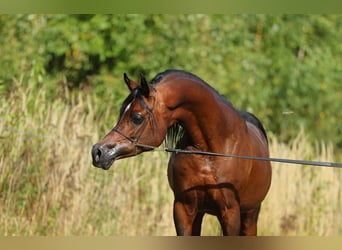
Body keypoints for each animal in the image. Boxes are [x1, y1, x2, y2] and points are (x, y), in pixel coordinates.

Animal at [91, 70, 272, 236]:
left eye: (137, 117)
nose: (98, 152)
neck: (211, 152)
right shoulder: (183, 208)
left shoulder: (230, 212)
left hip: (250, 215)